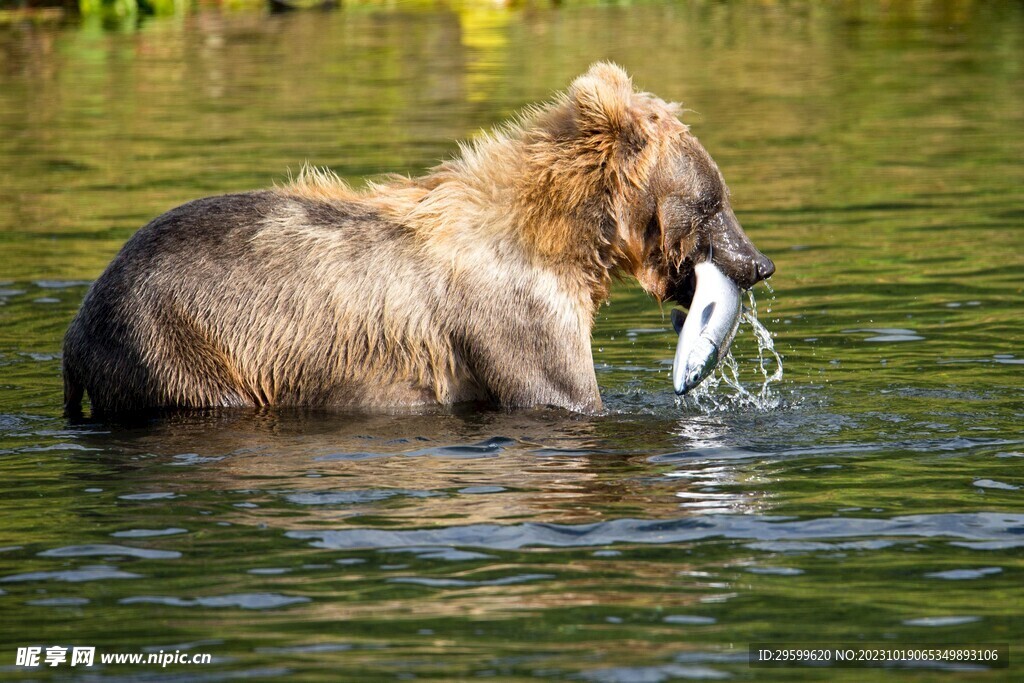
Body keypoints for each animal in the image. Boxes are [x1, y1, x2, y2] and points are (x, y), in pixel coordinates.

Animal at [59, 62, 770, 417]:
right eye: (714, 201)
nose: (758, 263)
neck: (566, 241)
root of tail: (75, 328)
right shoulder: (515, 313)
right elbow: (562, 395)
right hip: (177, 343)